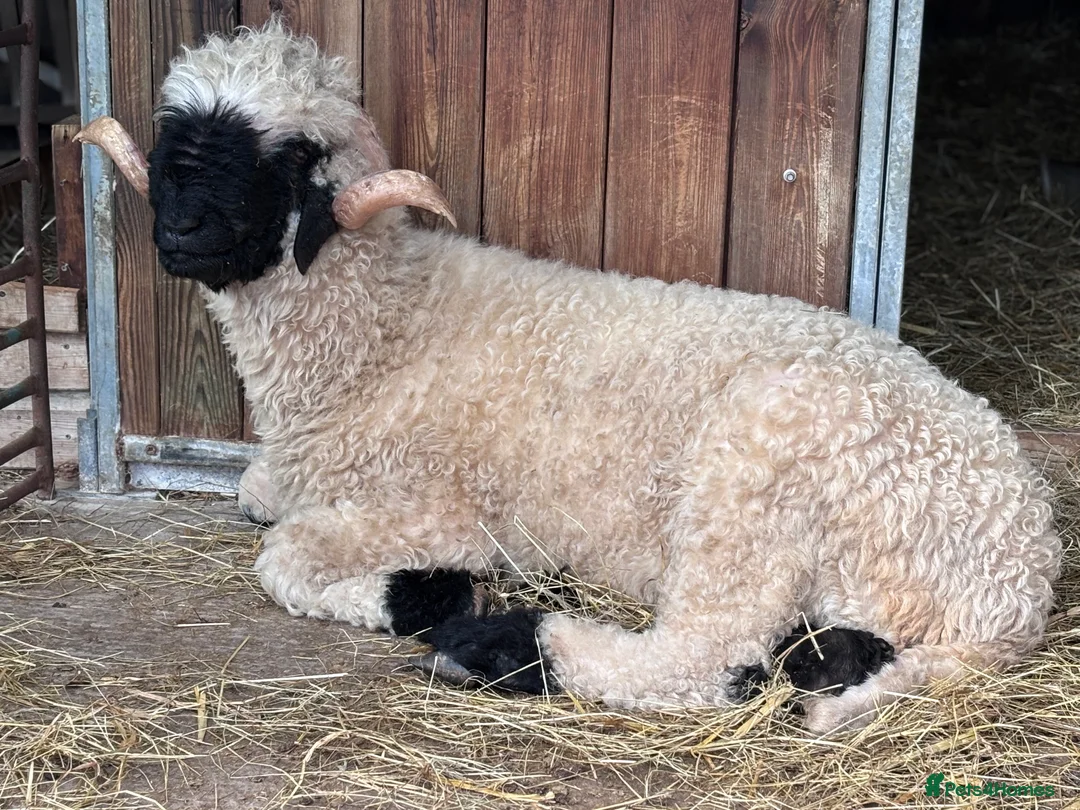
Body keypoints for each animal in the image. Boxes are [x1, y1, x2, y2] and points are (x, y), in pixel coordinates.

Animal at [78, 18, 1062, 734]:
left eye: (282, 158)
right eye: (175, 135)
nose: (180, 233)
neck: (386, 328)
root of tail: (1021, 573)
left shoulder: (445, 508)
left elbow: (280, 555)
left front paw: (424, 594)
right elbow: (255, 496)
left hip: (755, 477)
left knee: (706, 660)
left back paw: (503, 643)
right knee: (809, 654)